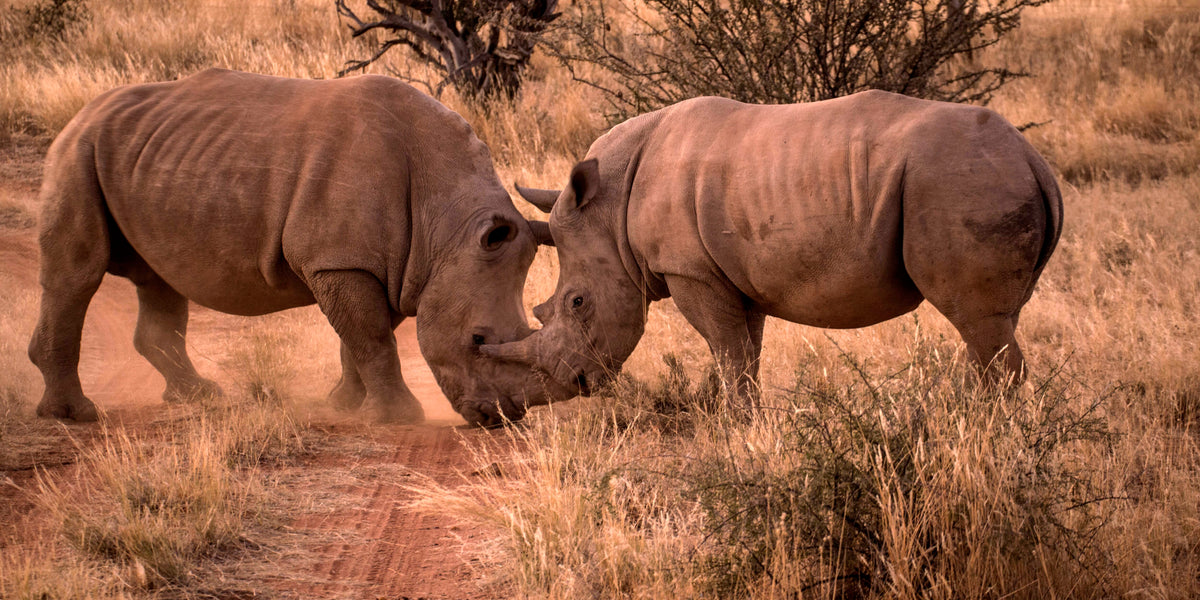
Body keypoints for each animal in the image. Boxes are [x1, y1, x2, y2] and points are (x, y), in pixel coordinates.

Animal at [28, 68, 562, 426]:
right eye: (477, 339)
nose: (501, 417)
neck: (448, 224)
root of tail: (80, 114)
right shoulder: (338, 261)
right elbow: (372, 337)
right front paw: (399, 418)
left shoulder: (385, 264)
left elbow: (360, 338)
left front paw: (342, 404)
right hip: (77, 152)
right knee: (78, 274)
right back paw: (75, 415)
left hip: (146, 157)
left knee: (158, 278)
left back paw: (199, 397)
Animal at [483, 91, 1063, 402]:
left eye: (577, 303)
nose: (573, 383)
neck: (607, 207)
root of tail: (1032, 159)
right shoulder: (733, 272)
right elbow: (746, 351)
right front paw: (745, 422)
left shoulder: (689, 270)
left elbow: (728, 351)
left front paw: (738, 430)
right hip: (979, 179)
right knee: (994, 322)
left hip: (958, 181)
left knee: (978, 322)